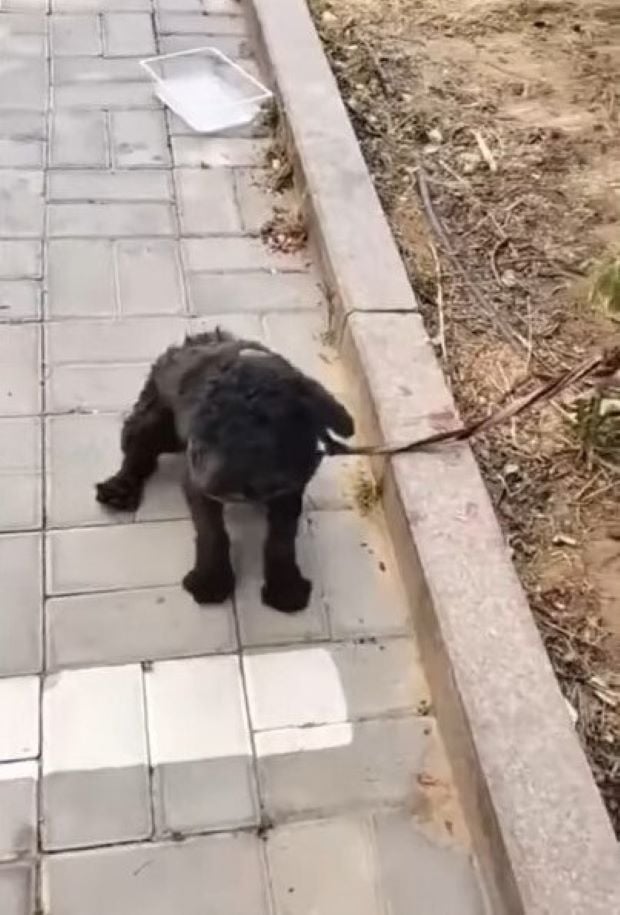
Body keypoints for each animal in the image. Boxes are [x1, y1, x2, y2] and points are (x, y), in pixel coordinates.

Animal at [94, 330, 352, 616]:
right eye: (205, 425)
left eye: (264, 426)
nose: (218, 485)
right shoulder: (195, 480)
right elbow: (212, 532)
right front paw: (211, 580)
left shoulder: (290, 486)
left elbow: (282, 537)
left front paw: (285, 586)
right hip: (155, 421)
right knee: (138, 451)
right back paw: (120, 488)